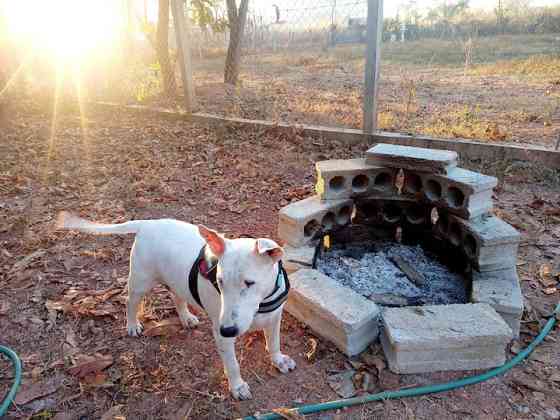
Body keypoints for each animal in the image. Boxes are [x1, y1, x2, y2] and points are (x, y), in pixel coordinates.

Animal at [55, 213, 298, 400]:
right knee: (130, 302)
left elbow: (274, 342)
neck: (262, 303)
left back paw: (186, 318)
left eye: (249, 282)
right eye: (219, 281)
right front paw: (237, 387)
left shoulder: (275, 318)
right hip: (140, 281)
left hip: (175, 279)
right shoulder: (222, 335)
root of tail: (146, 224)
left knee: (176, 297)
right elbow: (232, 364)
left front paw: (279, 360)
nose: (227, 330)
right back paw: (132, 325)